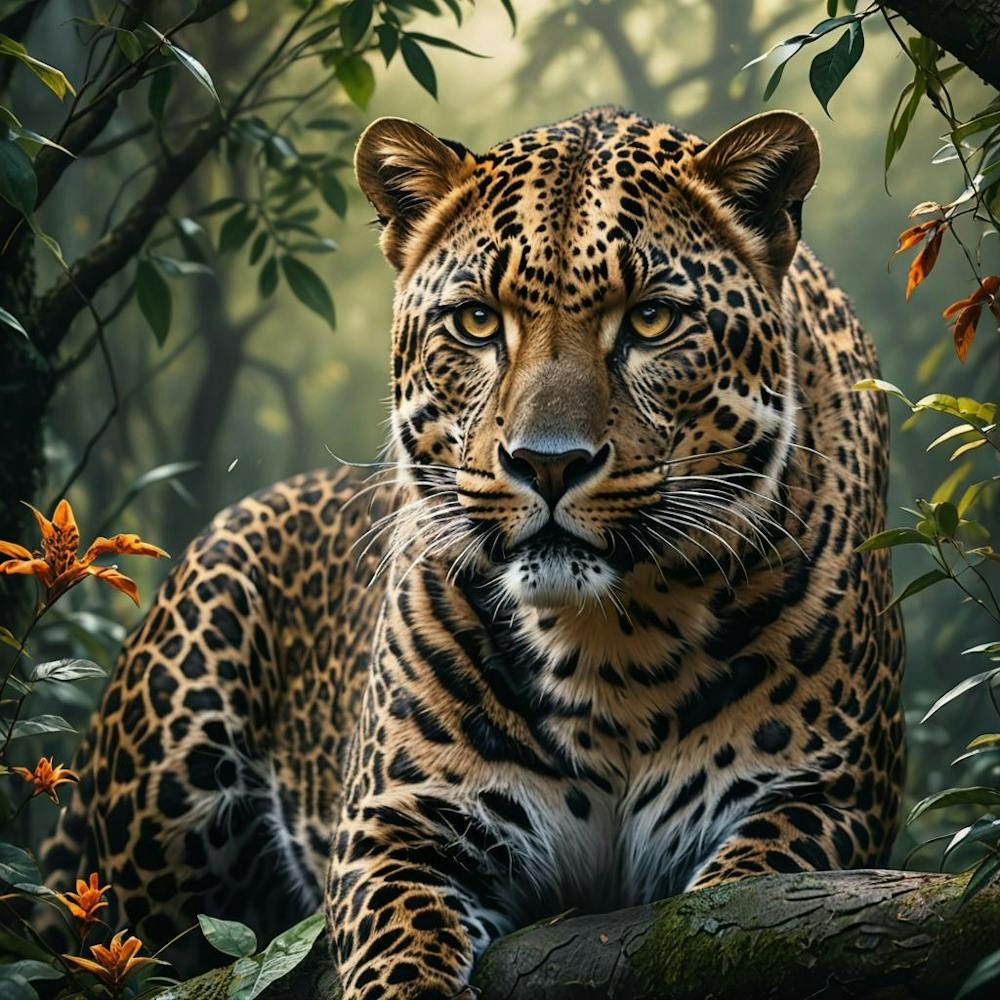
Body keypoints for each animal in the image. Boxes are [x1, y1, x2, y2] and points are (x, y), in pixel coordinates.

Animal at [42, 106, 906, 998]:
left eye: (652, 320)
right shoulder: (399, 821)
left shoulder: (821, 800)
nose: (548, 463)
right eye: (478, 321)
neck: (614, 648)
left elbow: (746, 901)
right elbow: (398, 958)